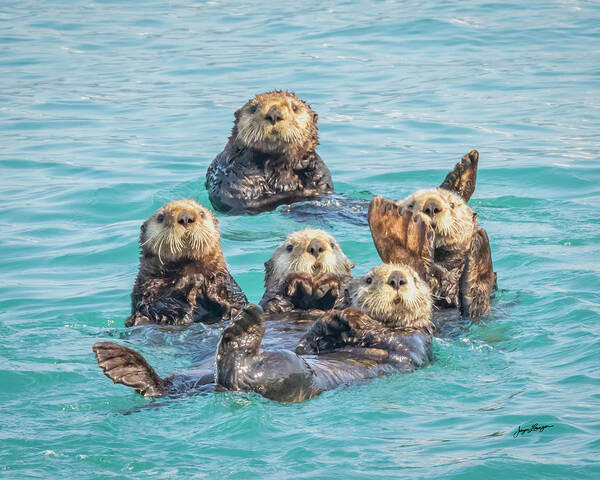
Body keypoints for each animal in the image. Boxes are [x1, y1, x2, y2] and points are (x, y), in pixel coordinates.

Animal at [126, 198, 248, 326]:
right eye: (160, 217)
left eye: (201, 213)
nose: (185, 217)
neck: (188, 267)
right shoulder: (147, 292)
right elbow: (163, 307)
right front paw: (193, 280)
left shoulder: (224, 279)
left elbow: (235, 297)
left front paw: (212, 285)